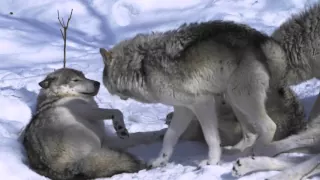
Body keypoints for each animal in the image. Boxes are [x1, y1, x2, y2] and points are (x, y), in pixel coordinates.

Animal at [99, 19, 298, 167]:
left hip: (240, 97)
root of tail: (261, 40)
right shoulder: (183, 109)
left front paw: (211, 162)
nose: (103, 86)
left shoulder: (202, 103)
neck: (141, 66)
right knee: (250, 134)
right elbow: (169, 137)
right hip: (232, 99)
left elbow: (211, 138)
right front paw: (159, 161)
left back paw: (255, 153)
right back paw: (235, 152)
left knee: (269, 127)